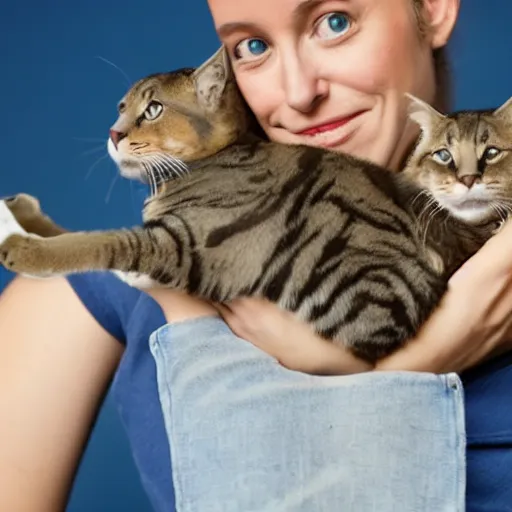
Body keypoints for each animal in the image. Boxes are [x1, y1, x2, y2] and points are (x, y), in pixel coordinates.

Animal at [2, 47, 510, 360]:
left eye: (153, 110)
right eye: (120, 108)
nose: (113, 133)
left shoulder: (179, 244)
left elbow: (98, 243)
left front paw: (24, 250)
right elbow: (76, 233)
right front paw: (24, 213)